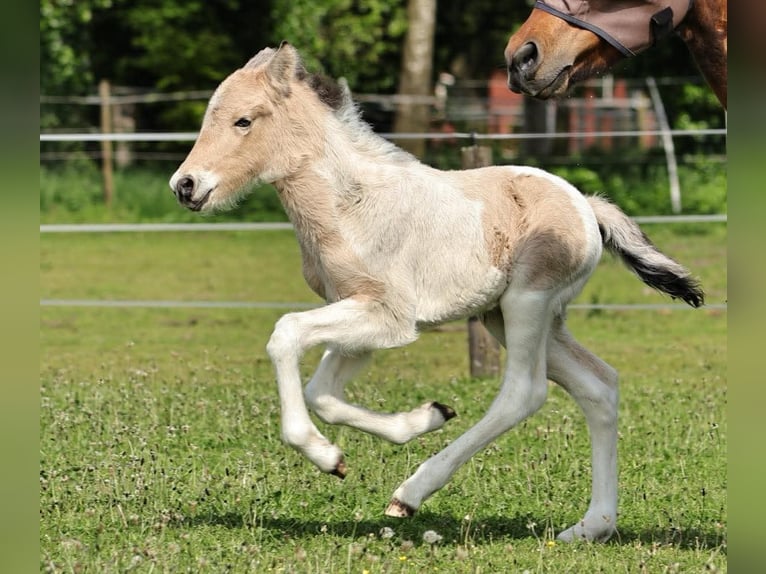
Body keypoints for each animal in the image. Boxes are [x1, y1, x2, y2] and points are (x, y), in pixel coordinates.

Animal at [171, 42, 704, 544]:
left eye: (243, 120)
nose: (185, 186)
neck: (350, 204)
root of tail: (587, 207)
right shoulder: (361, 317)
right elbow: (322, 393)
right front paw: (424, 419)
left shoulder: (388, 315)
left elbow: (286, 336)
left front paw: (323, 454)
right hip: (504, 316)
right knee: (599, 386)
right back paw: (592, 526)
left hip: (527, 304)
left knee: (524, 393)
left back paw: (410, 493)